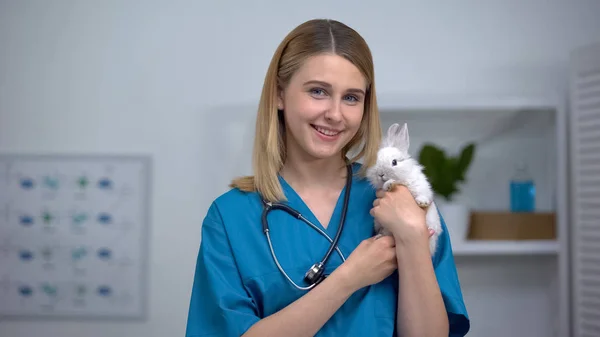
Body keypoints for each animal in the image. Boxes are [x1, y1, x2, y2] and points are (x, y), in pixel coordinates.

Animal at [364, 122, 442, 256]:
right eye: (376, 161)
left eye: (394, 162)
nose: (380, 174)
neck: (402, 180)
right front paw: (390, 185)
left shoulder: (420, 186)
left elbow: (423, 194)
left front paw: (422, 202)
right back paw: (379, 236)